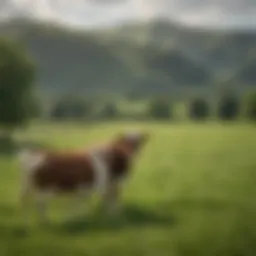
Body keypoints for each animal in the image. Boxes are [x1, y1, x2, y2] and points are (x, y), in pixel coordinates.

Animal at [18, 130, 149, 224]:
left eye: (138, 143)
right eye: (128, 142)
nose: (131, 152)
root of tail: (34, 154)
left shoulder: (102, 184)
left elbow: (97, 199)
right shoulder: (112, 182)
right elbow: (112, 198)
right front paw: (114, 213)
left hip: (28, 187)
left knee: (25, 201)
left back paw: (25, 221)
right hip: (43, 188)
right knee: (40, 203)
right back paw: (45, 221)